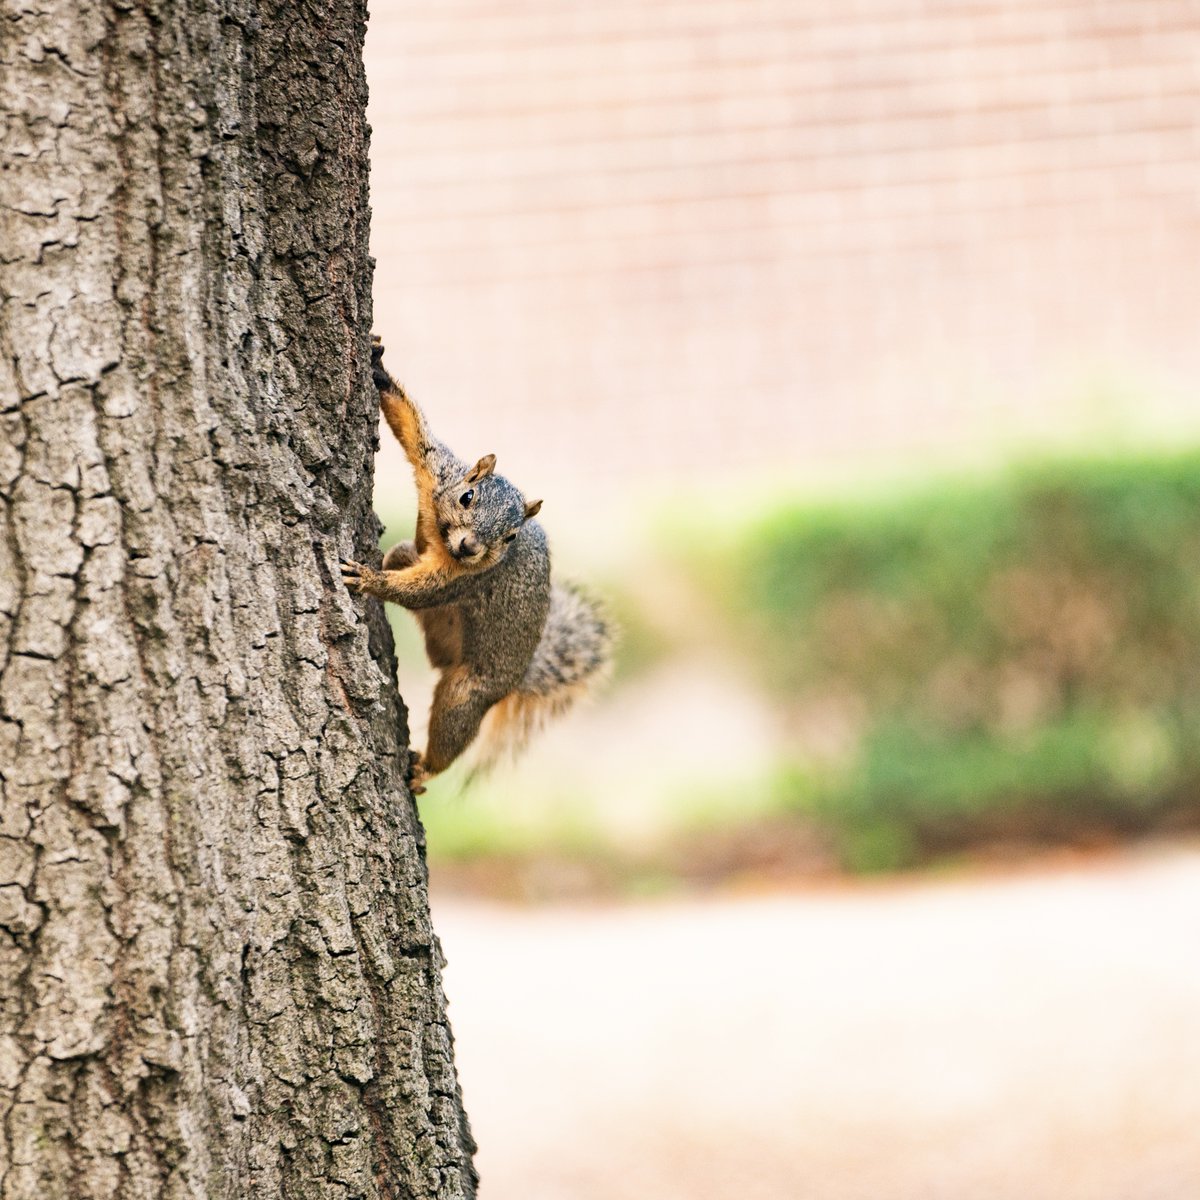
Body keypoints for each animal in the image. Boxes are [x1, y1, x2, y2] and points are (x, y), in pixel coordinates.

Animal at [340, 337, 612, 794]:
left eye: (510, 537)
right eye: (467, 496)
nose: (469, 547)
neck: (443, 538)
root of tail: (518, 677)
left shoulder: (466, 578)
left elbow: (426, 588)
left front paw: (368, 579)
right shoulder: (439, 469)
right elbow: (412, 428)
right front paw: (378, 365)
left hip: (470, 690)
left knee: (454, 726)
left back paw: (426, 769)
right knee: (404, 558)